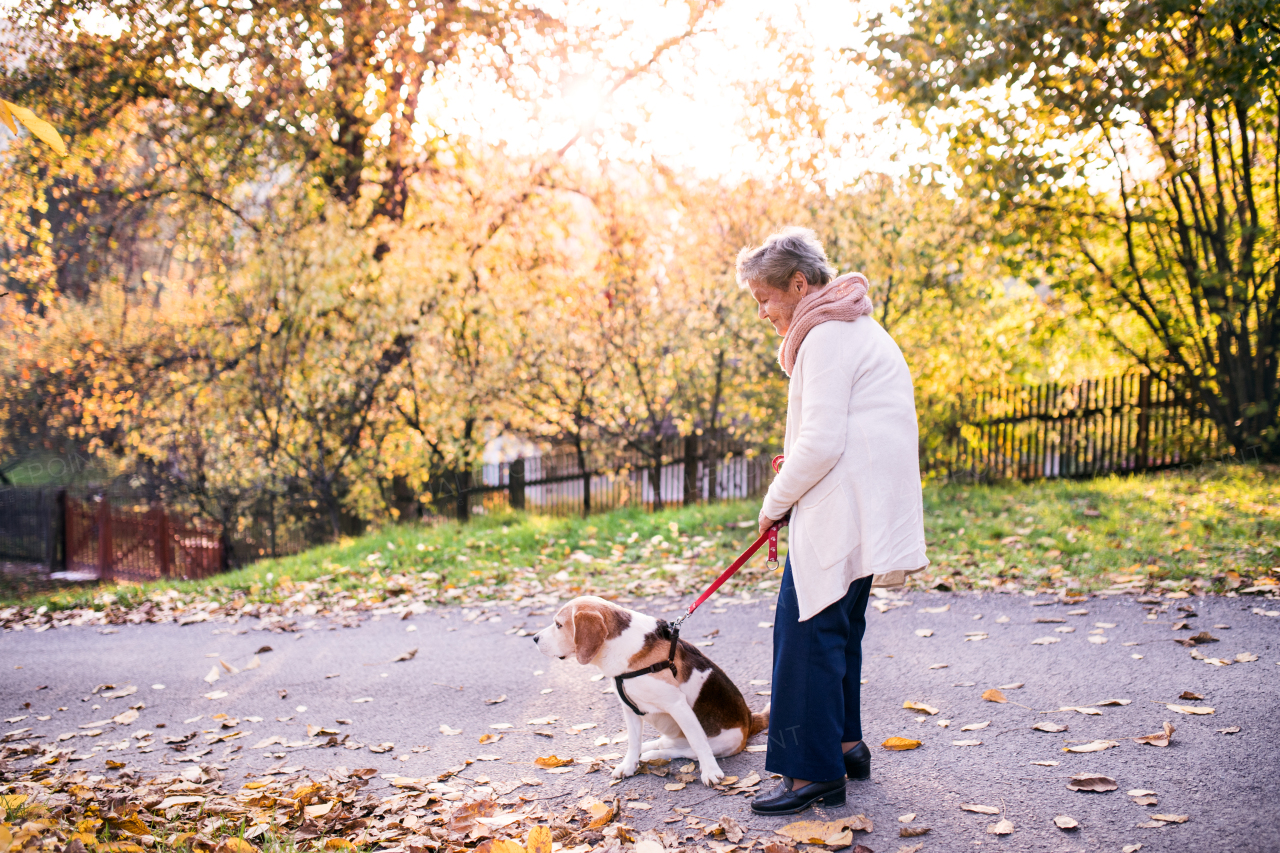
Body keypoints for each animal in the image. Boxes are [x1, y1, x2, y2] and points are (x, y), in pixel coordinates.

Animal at [532, 591, 768, 783]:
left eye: (559, 625)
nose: (534, 638)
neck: (622, 646)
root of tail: (750, 720)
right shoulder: (630, 709)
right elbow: (633, 742)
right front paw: (628, 765)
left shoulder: (678, 706)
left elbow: (699, 743)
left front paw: (710, 772)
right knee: (666, 745)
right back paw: (647, 750)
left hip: (725, 740)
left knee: (687, 750)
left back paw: (653, 756)